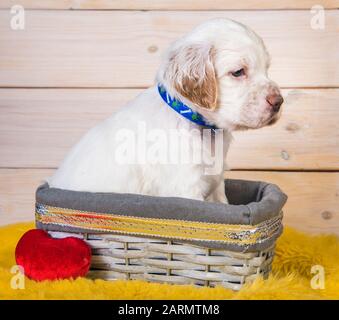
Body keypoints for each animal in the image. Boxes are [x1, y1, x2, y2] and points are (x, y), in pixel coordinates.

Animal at [49, 18, 284, 202]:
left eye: (267, 69)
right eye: (238, 72)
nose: (279, 101)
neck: (200, 126)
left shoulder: (216, 183)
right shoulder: (186, 187)